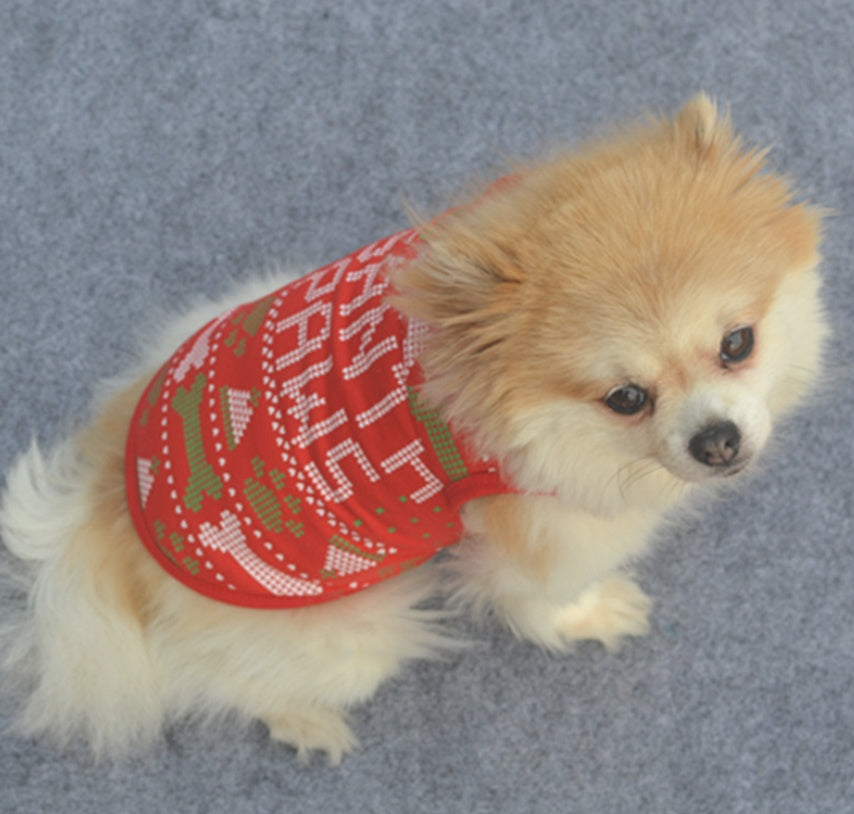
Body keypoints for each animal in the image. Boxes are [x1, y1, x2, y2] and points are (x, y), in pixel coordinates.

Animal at [0, 95, 828, 764]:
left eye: (737, 344)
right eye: (626, 398)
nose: (717, 442)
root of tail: (109, 505)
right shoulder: (541, 533)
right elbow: (544, 599)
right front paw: (591, 614)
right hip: (355, 638)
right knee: (207, 681)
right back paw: (304, 722)